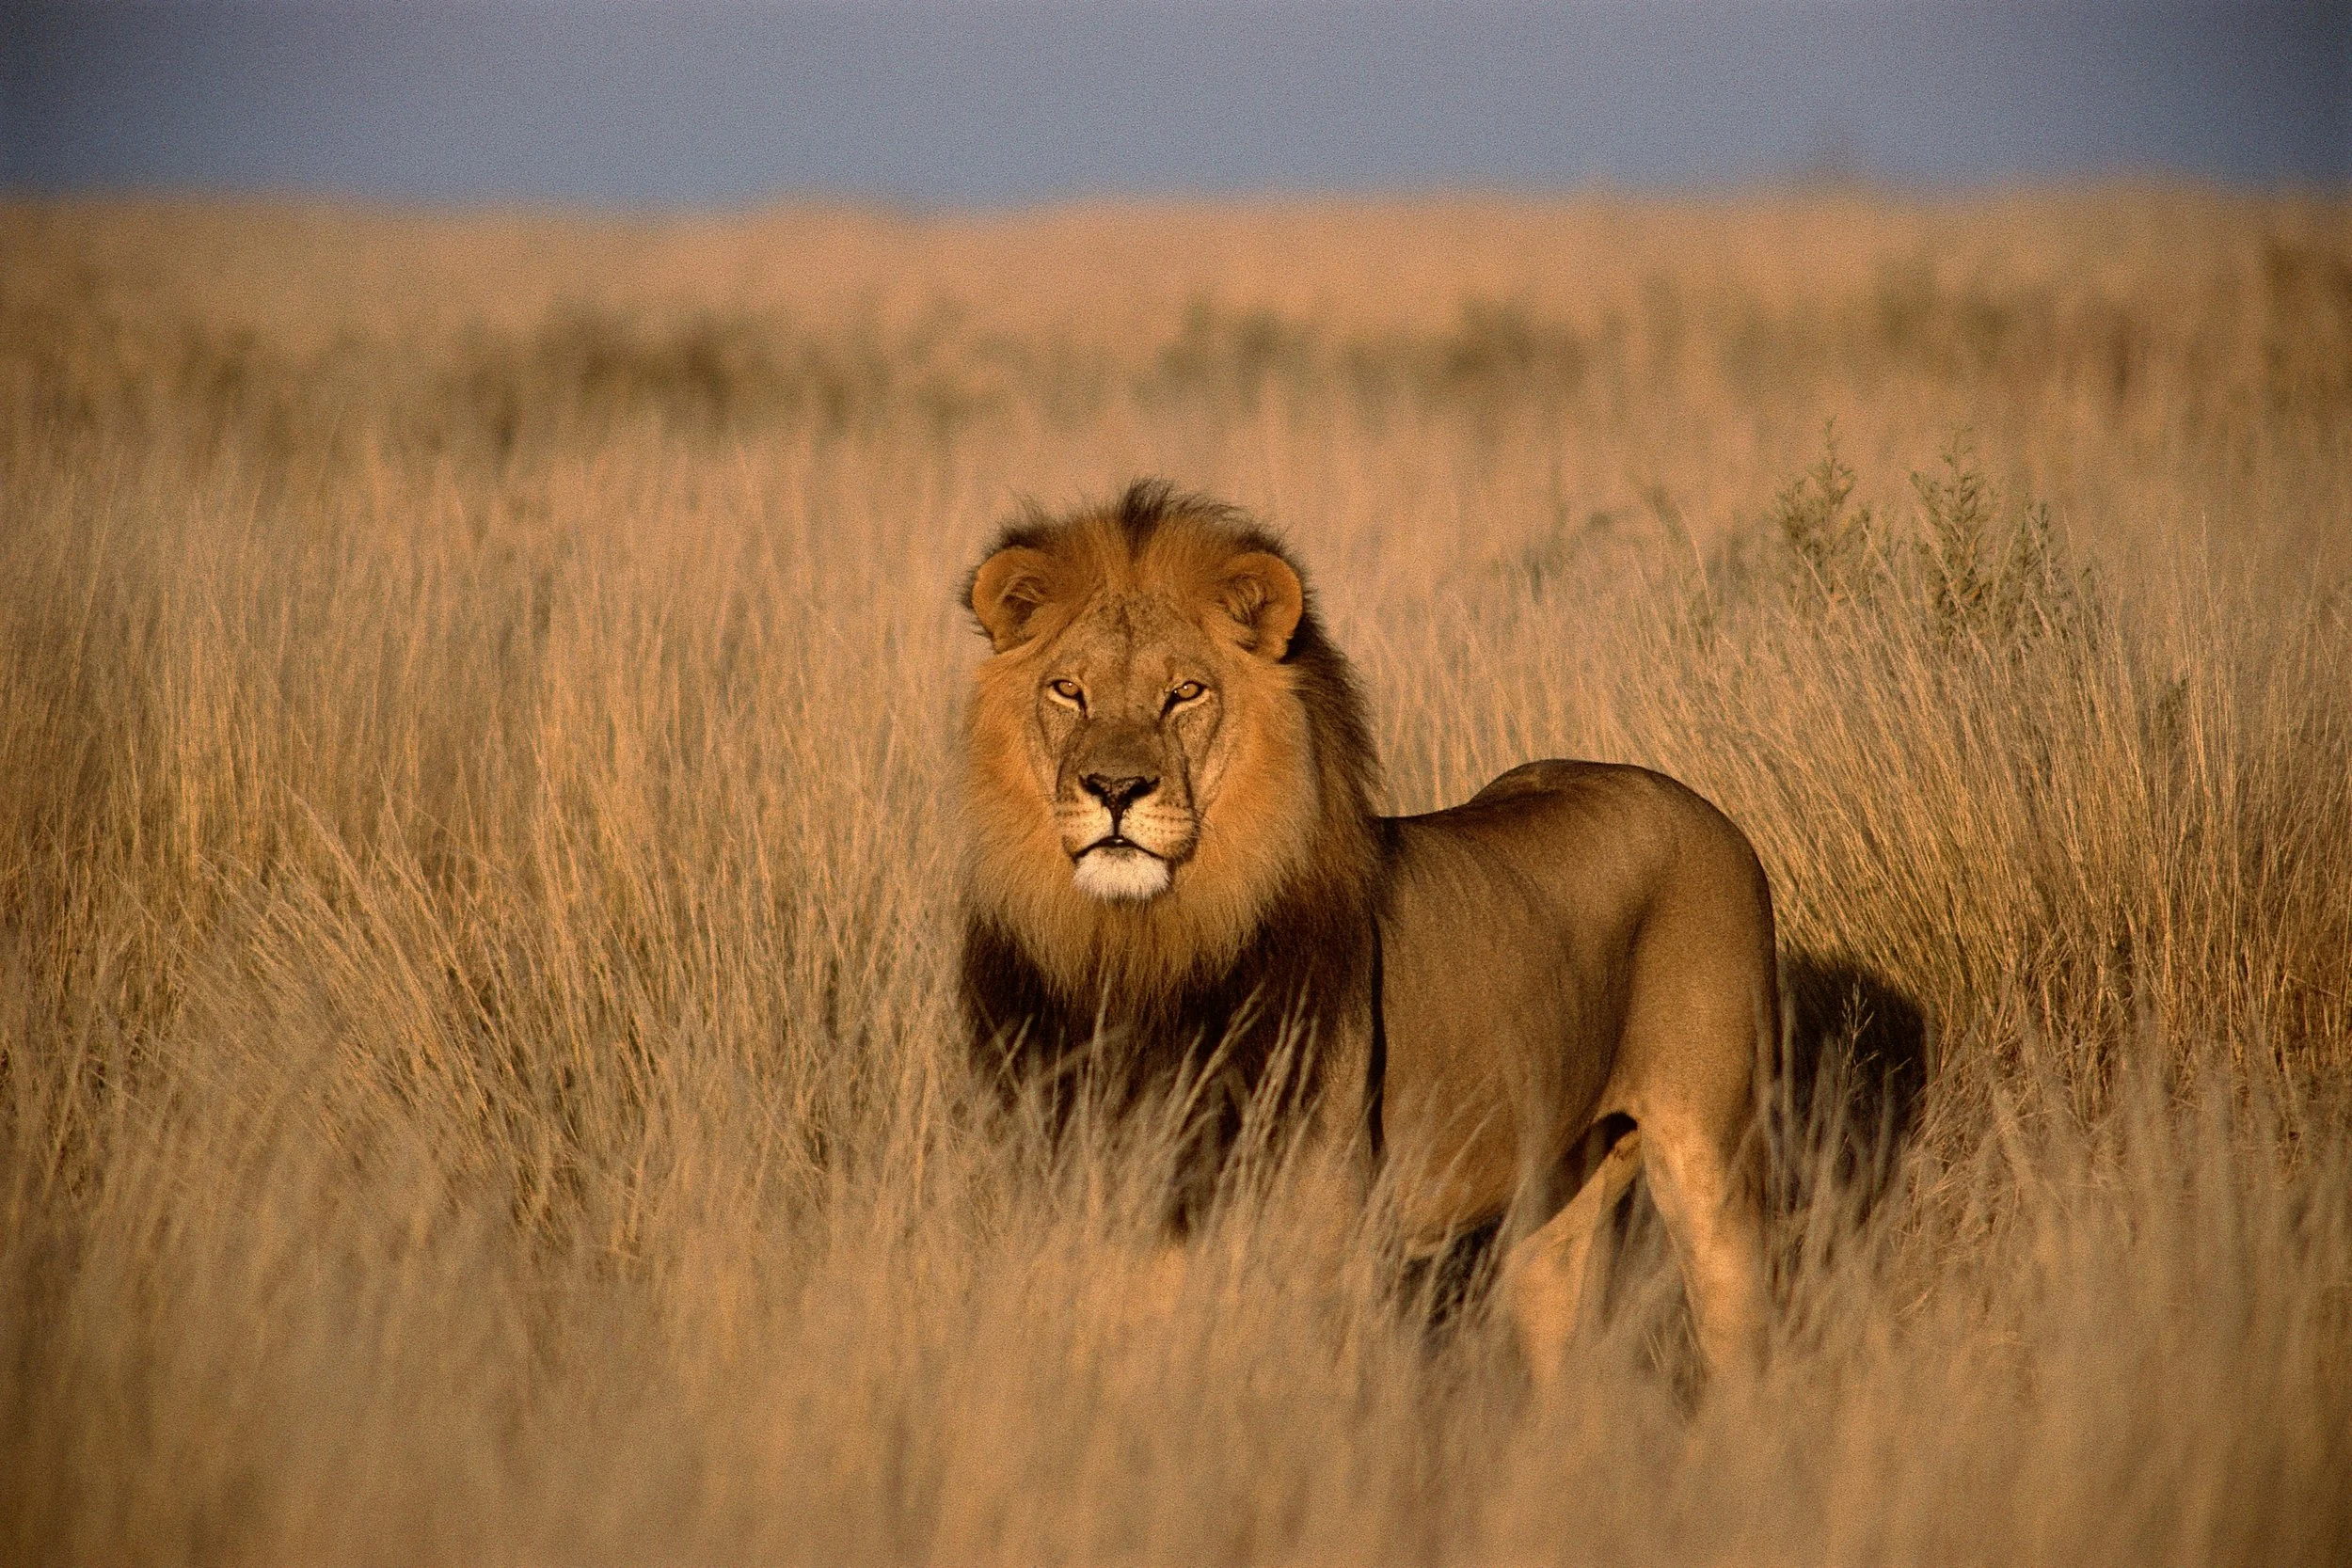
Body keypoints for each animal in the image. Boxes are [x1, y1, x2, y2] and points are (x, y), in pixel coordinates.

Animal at [958, 480, 1776, 1384]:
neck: (1143, 951)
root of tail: (1705, 810)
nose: (1113, 787)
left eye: (1186, 693)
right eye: (1068, 691)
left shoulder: (1318, 1232)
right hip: (1558, 1193)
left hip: (1714, 1159)